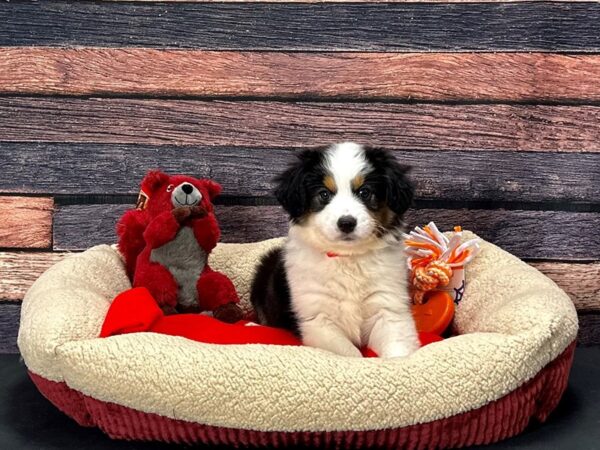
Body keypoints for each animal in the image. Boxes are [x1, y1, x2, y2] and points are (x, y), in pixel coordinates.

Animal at [248, 142, 418, 356]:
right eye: (324, 194)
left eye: (364, 192)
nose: (346, 223)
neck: (348, 258)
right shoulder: (317, 320)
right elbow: (349, 354)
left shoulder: (389, 309)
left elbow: (399, 352)